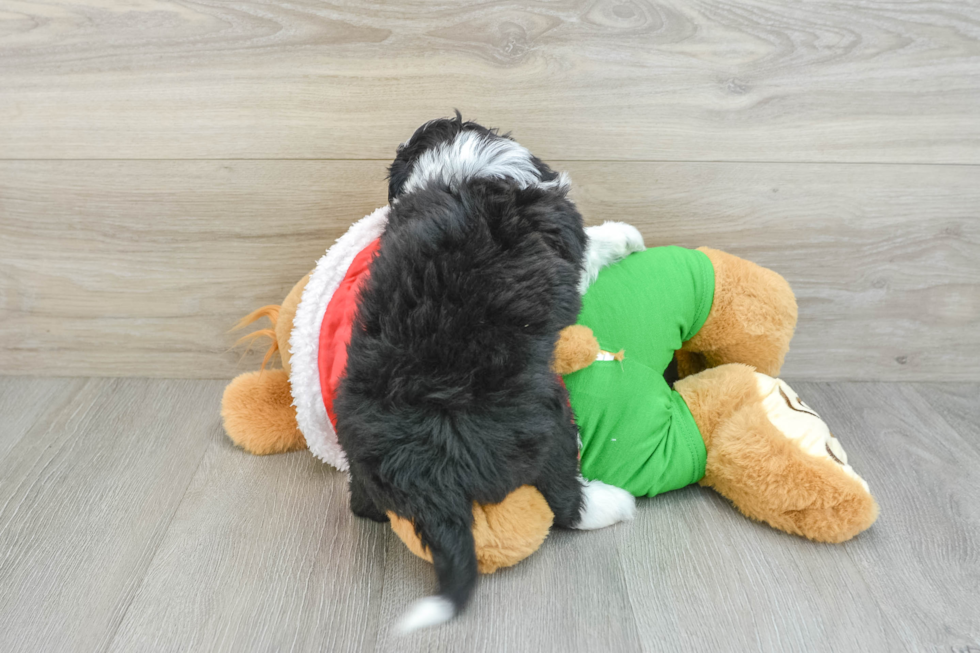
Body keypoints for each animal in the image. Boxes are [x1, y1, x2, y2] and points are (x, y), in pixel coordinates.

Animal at [334, 113, 636, 632]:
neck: (462, 168)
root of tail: (425, 468)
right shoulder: (567, 243)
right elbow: (592, 246)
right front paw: (626, 236)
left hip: (359, 447)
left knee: (364, 507)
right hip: (547, 419)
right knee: (565, 499)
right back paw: (613, 503)